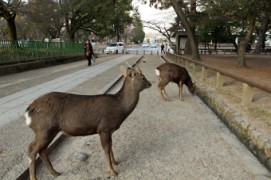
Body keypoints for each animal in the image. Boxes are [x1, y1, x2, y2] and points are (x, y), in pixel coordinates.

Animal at [24, 64, 152, 180]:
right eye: (143, 77)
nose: (150, 83)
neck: (120, 108)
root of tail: (28, 111)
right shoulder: (104, 128)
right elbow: (106, 149)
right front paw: (112, 172)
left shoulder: (109, 130)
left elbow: (111, 146)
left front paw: (115, 162)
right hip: (44, 129)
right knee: (32, 149)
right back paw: (35, 177)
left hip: (49, 131)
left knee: (42, 150)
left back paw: (56, 173)